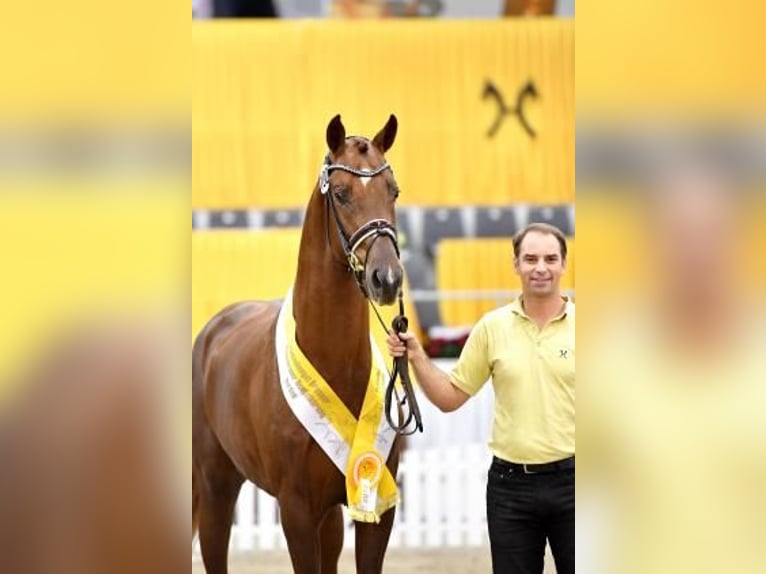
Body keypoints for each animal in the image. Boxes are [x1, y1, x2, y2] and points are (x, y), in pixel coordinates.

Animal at [195, 115, 404, 572]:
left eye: (393, 190)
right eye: (341, 193)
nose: (387, 278)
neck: (334, 362)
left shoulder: (375, 507)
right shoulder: (295, 510)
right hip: (216, 485)